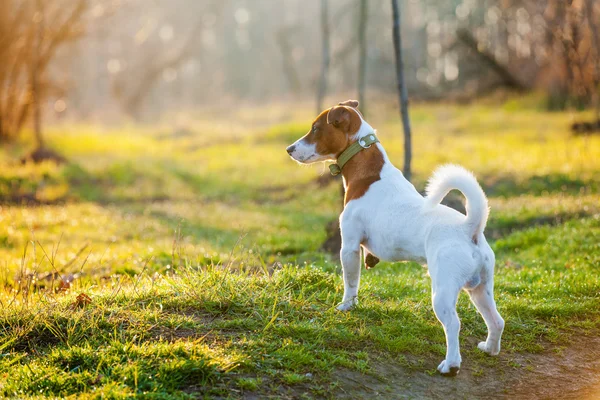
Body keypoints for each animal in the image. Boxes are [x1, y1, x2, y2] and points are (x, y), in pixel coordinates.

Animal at [288, 99, 504, 376]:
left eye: (315, 128)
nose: (289, 149)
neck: (367, 172)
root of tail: (470, 228)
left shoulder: (349, 247)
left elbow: (351, 282)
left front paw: (347, 305)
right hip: (480, 289)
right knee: (496, 321)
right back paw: (490, 348)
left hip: (443, 291)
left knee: (454, 325)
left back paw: (451, 365)